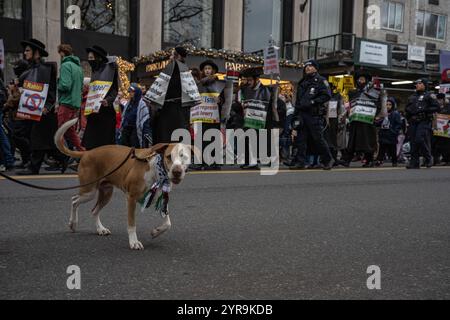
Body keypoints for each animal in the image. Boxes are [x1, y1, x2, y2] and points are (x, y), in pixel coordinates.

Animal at [54, 118, 192, 250]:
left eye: (184, 157)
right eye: (169, 157)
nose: (177, 172)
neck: (156, 169)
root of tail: (87, 152)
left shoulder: (159, 197)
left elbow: (168, 223)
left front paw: (156, 232)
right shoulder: (131, 198)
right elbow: (131, 224)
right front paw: (134, 242)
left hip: (106, 193)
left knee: (94, 210)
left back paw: (100, 229)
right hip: (89, 191)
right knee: (74, 200)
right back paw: (73, 223)